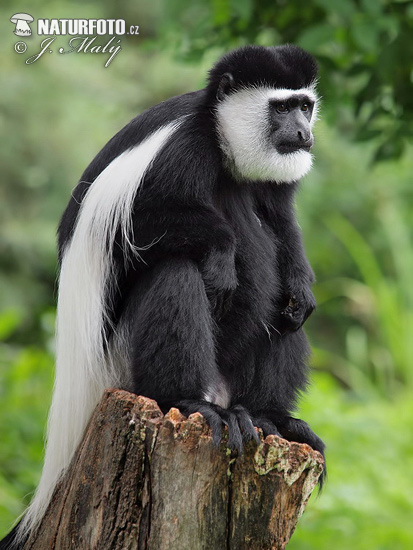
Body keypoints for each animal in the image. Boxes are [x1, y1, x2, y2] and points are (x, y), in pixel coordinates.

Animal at [2, 44, 326, 550]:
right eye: (280, 108)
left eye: (304, 106)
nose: (302, 133)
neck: (221, 138)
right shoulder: (181, 150)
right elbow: (139, 223)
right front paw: (221, 256)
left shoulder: (277, 183)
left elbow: (282, 223)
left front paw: (300, 284)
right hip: (122, 360)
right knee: (175, 272)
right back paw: (192, 403)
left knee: (283, 315)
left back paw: (273, 418)